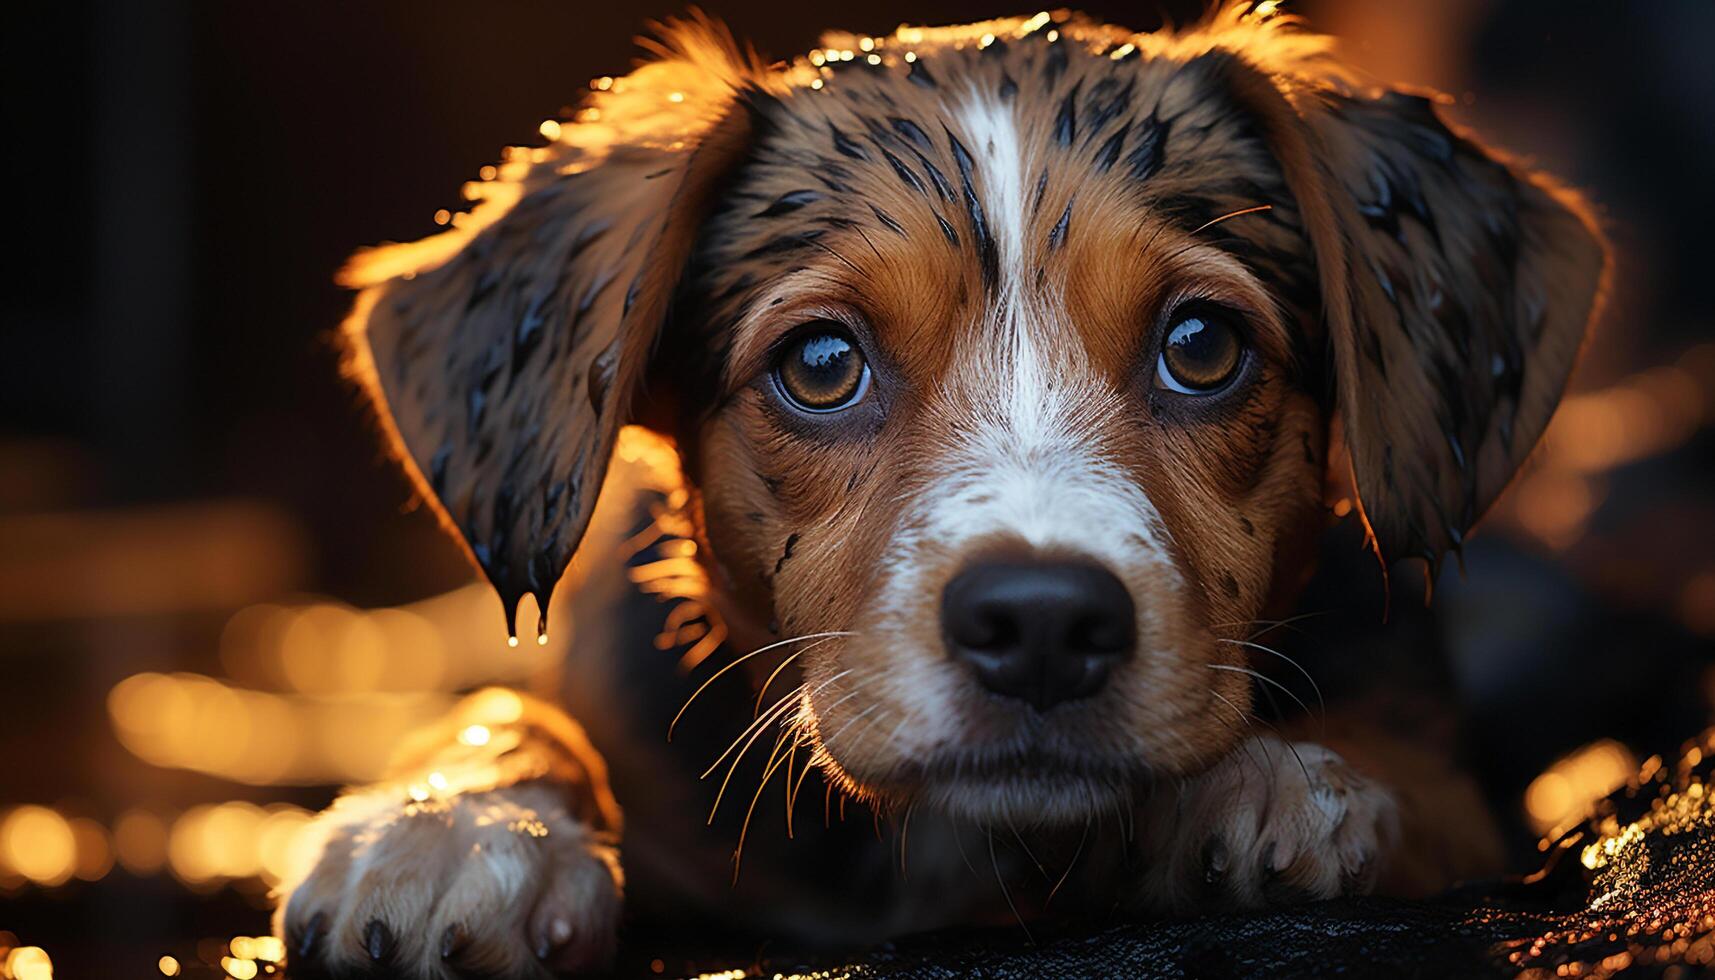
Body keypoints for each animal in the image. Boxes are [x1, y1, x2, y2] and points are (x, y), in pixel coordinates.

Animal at [270, 5, 1605, 974]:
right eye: (820, 364)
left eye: (1201, 345)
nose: (1041, 622)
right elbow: (515, 709)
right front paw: (453, 823)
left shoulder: (1479, 812)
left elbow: (1418, 782)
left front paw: (1288, 777)